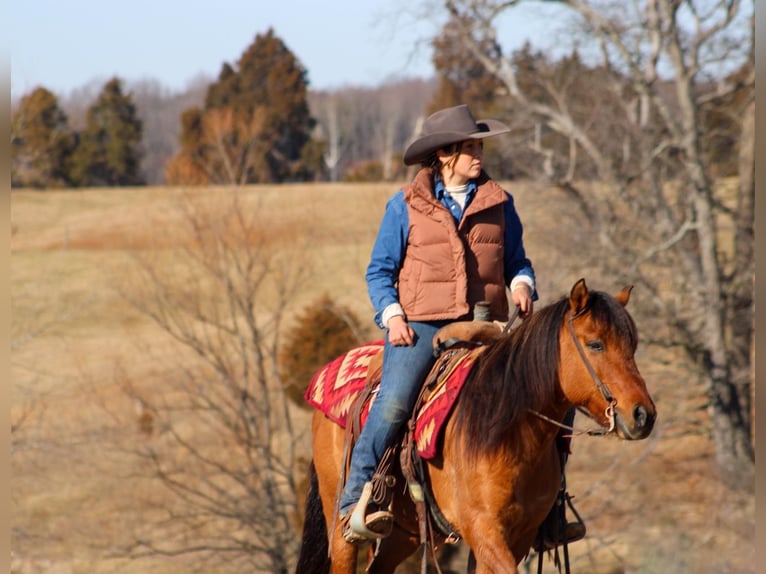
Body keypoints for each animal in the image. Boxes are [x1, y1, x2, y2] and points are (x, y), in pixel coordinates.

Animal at [296, 276, 656, 572]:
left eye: (633, 345)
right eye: (595, 343)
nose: (644, 415)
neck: (510, 431)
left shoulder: (517, 536)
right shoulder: (484, 531)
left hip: (403, 533)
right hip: (341, 529)